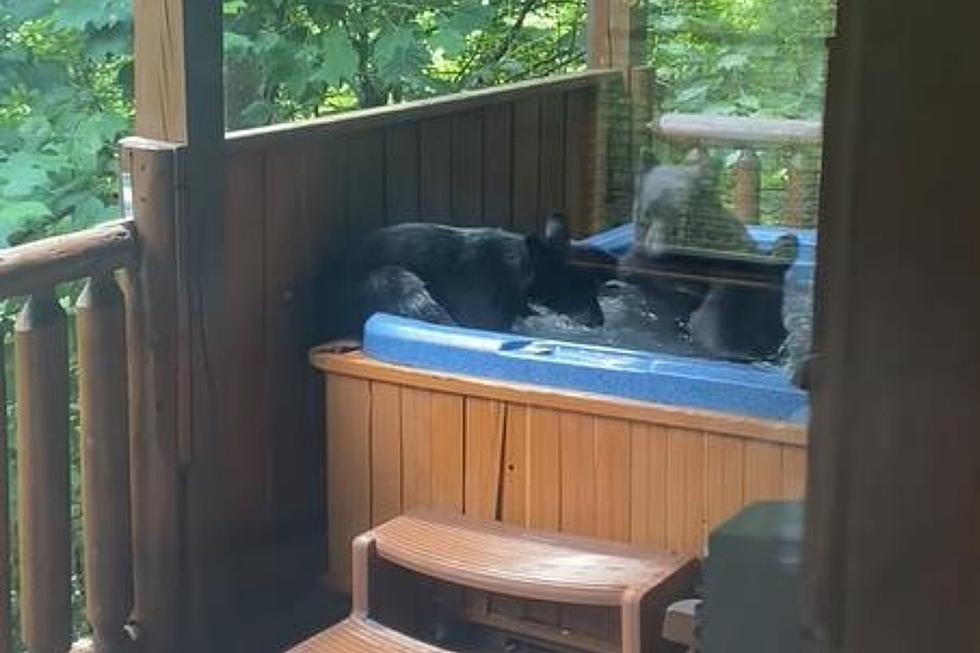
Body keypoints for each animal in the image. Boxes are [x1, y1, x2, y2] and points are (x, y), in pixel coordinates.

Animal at [318, 213, 616, 338]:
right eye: (576, 289)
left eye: (593, 288)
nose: (600, 321)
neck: (515, 272)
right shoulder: (483, 309)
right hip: (394, 279)